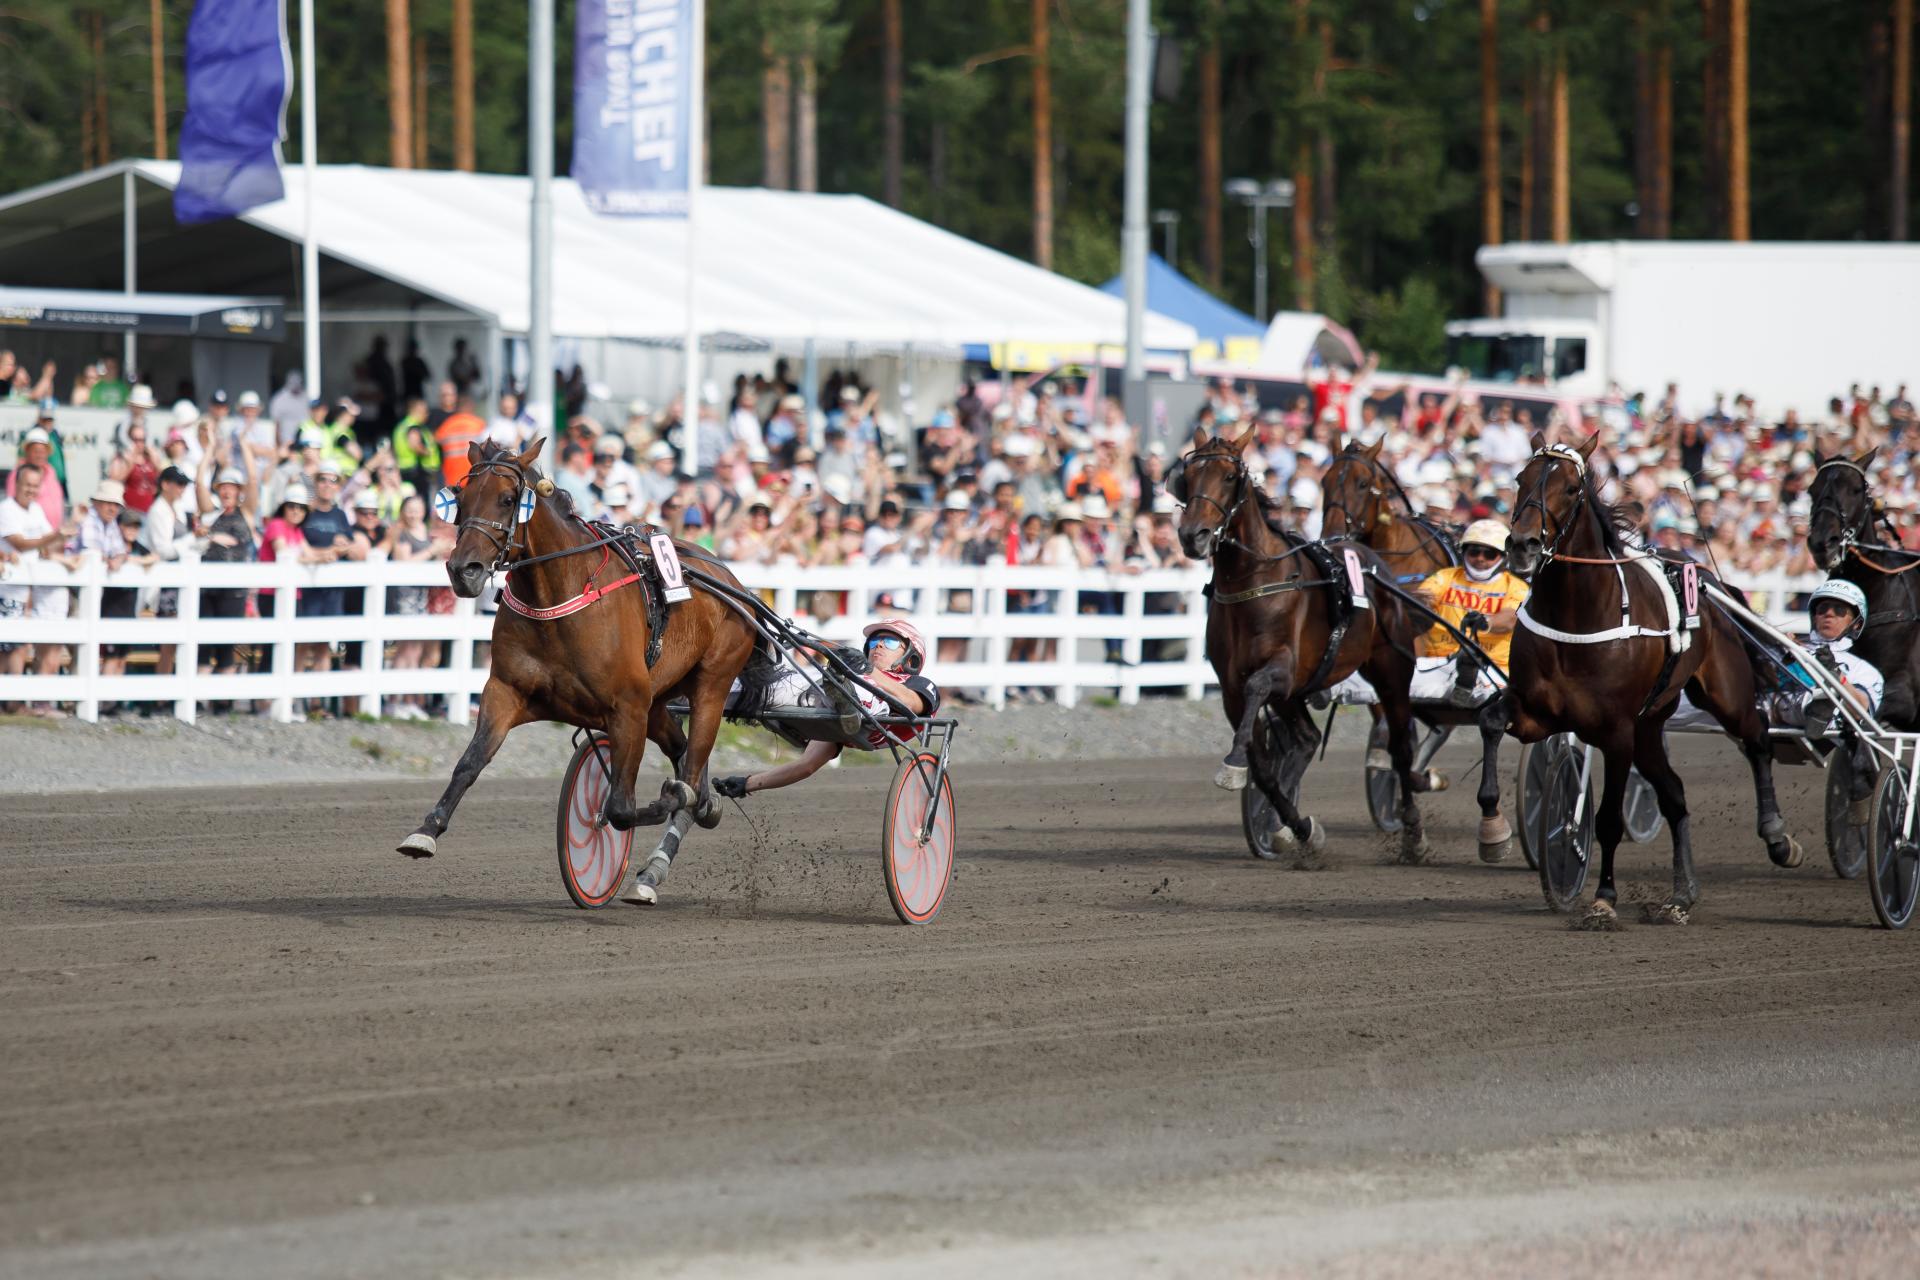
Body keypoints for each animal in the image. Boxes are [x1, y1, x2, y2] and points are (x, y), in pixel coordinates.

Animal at [401, 441, 768, 901]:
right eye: (460, 499)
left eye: (508, 499)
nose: (462, 570)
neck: (560, 595)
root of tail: (731, 578)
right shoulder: (505, 691)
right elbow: (470, 762)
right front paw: (425, 830)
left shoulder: (626, 708)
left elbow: (621, 808)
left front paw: (666, 799)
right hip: (657, 702)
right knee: (684, 753)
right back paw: (698, 811)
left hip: (711, 686)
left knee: (692, 761)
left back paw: (672, 836)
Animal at [1175, 422, 1436, 859]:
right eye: (1188, 476)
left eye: (1228, 477)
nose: (1192, 536)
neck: (1255, 583)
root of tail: (1376, 566)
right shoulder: (1231, 689)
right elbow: (1263, 767)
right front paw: (1295, 826)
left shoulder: (1282, 668)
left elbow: (1258, 686)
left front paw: (1233, 764)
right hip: (1299, 693)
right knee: (1308, 738)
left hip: (1391, 668)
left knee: (1400, 744)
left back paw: (1414, 831)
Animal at [1482, 435, 1797, 924]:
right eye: (1520, 479)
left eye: (1570, 488)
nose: (1522, 545)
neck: (1578, 613)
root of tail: (1707, 578)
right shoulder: (1537, 712)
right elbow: (1490, 722)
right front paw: (1493, 830)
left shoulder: (1616, 732)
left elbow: (1609, 820)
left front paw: (1603, 899)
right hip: (1649, 727)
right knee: (1675, 795)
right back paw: (1681, 895)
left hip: (1723, 696)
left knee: (1758, 740)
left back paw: (1777, 837)